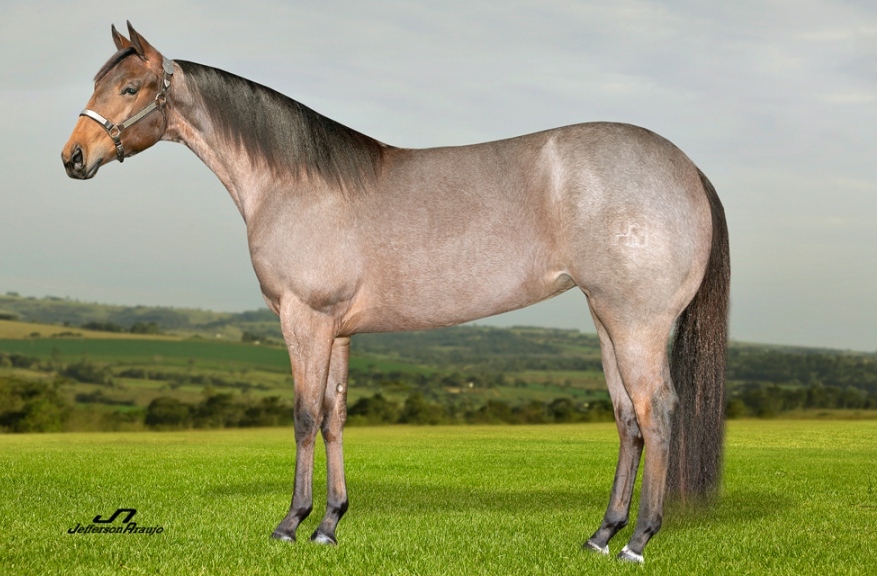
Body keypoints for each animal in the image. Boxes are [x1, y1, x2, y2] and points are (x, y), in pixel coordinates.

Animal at [61, 23, 729, 563]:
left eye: (129, 89)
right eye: (100, 82)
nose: (73, 157)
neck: (296, 183)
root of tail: (688, 168)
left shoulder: (304, 318)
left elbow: (303, 416)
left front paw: (290, 524)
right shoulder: (337, 329)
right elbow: (333, 417)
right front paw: (329, 525)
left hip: (637, 322)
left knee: (657, 411)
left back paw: (639, 540)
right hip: (606, 320)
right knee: (628, 418)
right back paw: (601, 535)